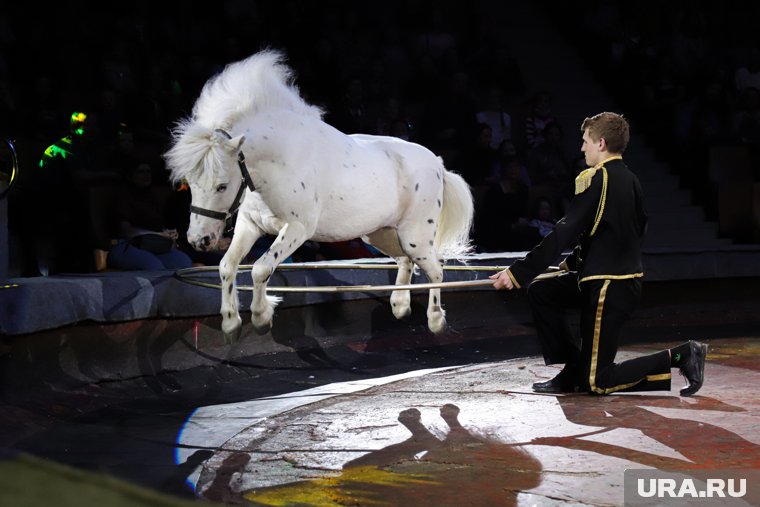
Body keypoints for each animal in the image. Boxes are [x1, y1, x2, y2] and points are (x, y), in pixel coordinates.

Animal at [166, 49, 472, 340]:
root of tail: (438, 164)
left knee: (436, 269)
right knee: (405, 261)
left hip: (414, 236)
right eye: (190, 183)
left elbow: (260, 268)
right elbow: (227, 266)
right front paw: (231, 323)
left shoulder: (298, 228)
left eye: (221, 186)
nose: (199, 240)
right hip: (380, 234)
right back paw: (399, 306)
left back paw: (435, 321)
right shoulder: (250, 224)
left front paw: (262, 317)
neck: (278, 161)